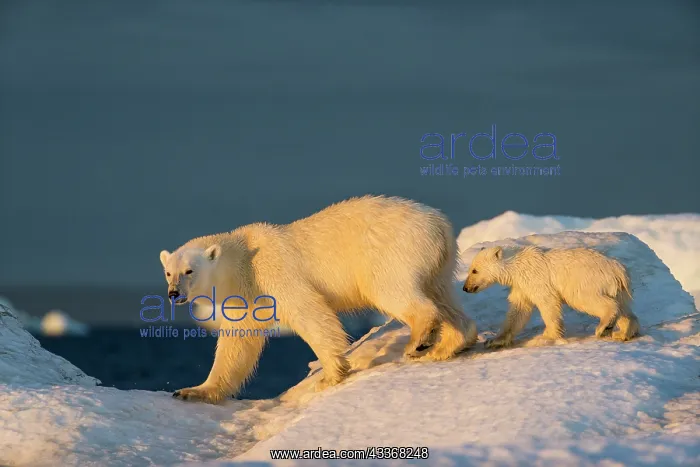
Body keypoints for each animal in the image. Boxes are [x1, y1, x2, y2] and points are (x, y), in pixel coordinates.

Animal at [159, 195, 478, 404]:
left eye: (189, 270)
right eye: (168, 272)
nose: (175, 293)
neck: (243, 260)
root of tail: (440, 224)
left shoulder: (273, 273)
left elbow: (309, 312)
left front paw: (330, 375)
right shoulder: (246, 297)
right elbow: (238, 343)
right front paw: (193, 390)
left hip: (391, 251)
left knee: (394, 290)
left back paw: (419, 341)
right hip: (439, 262)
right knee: (442, 296)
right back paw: (449, 343)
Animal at [462, 245, 639, 348]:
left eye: (474, 270)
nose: (465, 288)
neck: (517, 265)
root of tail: (618, 269)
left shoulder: (535, 278)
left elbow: (548, 302)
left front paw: (546, 336)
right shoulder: (521, 286)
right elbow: (518, 310)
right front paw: (493, 341)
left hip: (585, 280)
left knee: (588, 300)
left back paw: (604, 327)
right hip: (618, 288)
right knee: (624, 308)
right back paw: (623, 332)